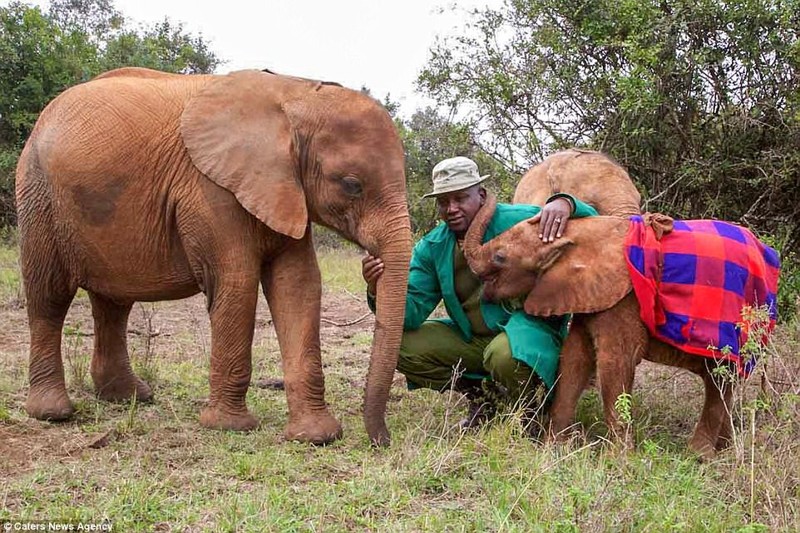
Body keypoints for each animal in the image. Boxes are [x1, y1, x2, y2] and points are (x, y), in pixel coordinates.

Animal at [17, 68, 412, 446]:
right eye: (351, 185)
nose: (381, 440)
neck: (296, 93)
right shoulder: (211, 189)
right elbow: (236, 282)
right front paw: (229, 427)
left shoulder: (284, 190)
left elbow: (298, 285)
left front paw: (317, 437)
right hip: (38, 194)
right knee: (49, 297)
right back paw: (53, 413)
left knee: (113, 303)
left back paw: (129, 397)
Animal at [462, 195, 780, 458]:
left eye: (500, 258)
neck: (574, 234)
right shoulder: (589, 293)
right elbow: (575, 358)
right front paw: (555, 447)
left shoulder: (623, 299)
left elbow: (614, 363)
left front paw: (617, 459)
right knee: (724, 379)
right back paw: (725, 450)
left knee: (719, 379)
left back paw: (699, 456)